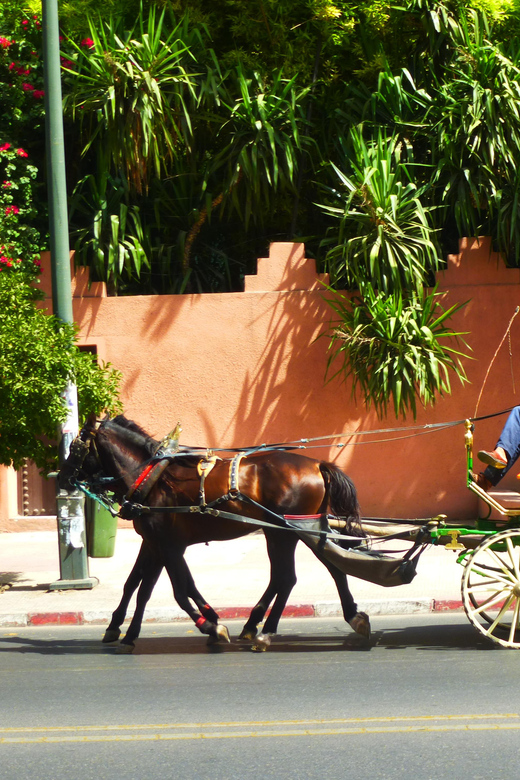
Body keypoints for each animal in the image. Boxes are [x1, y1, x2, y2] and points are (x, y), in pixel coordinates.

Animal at [59, 414, 370, 651]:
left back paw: (265, 632)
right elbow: (138, 585)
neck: (153, 478)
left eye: (75, 447)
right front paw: (119, 629)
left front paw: (210, 626)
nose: (61, 478)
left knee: (287, 578)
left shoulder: (168, 546)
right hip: (300, 530)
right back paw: (351, 616)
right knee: (331, 568)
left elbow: (175, 590)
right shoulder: (154, 543)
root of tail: (318, 465)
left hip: (284, 534)